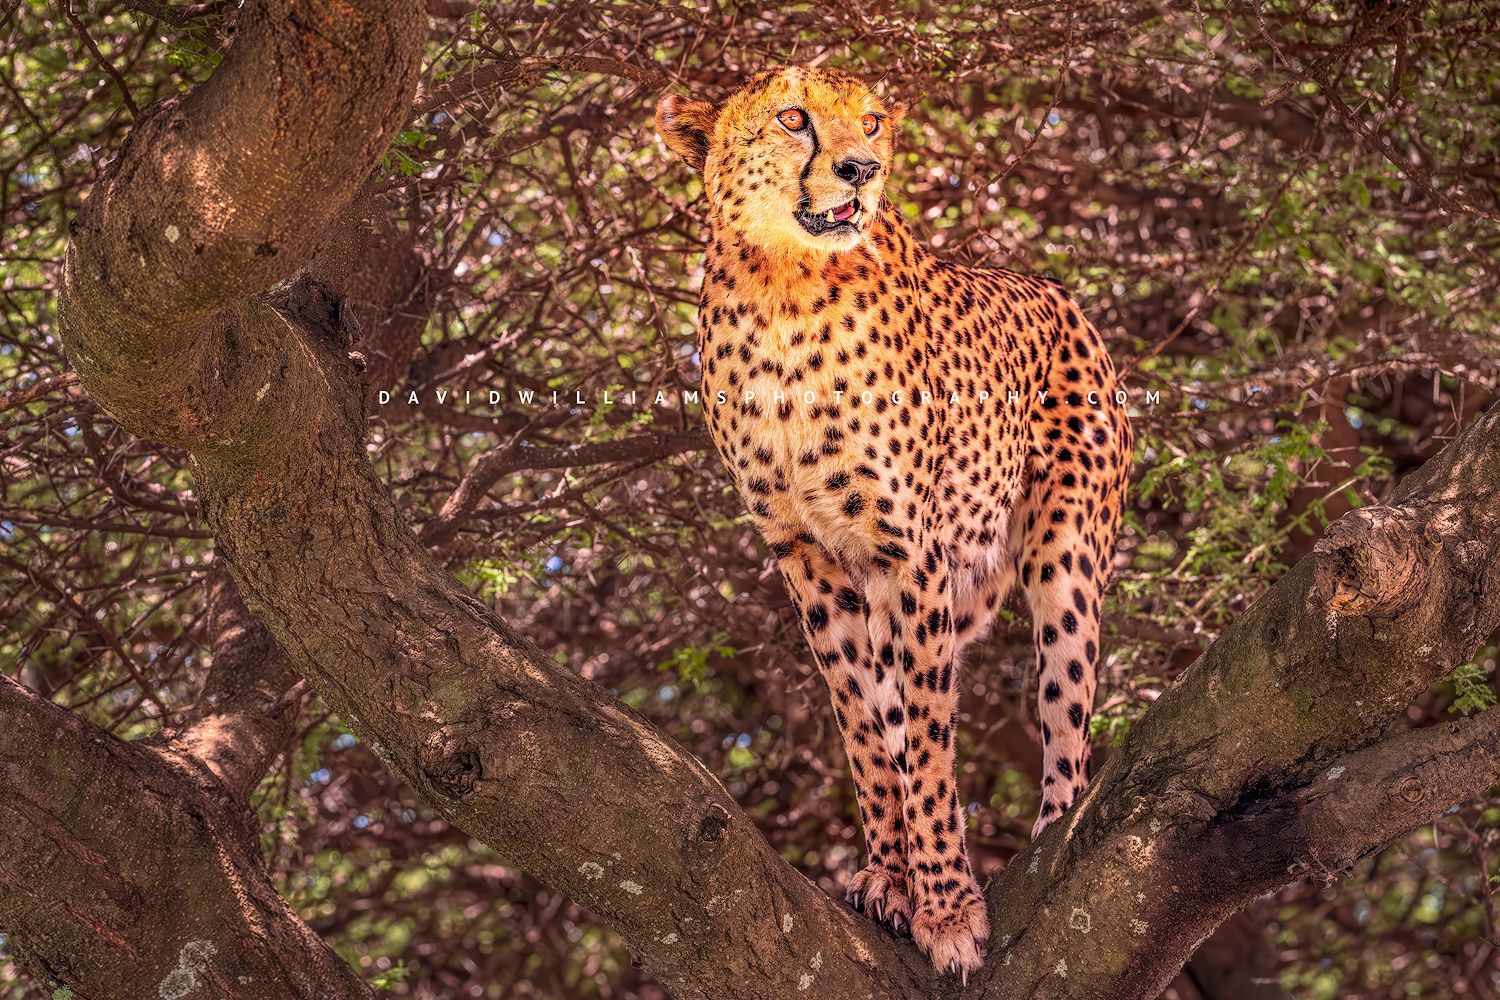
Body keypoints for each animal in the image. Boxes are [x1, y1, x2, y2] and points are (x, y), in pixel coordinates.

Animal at [656, 66, 1133, 977]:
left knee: (1064, 706)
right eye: (793, 117)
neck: (784, 284)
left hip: (1063, 555)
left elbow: (933, 745)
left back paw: (1054, 827)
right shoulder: (807, 555)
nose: (861, 169)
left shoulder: (912, 552)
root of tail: (1057, 292)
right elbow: (866, 728)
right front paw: (891, 876)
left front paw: (947, 909)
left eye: (873, 121)